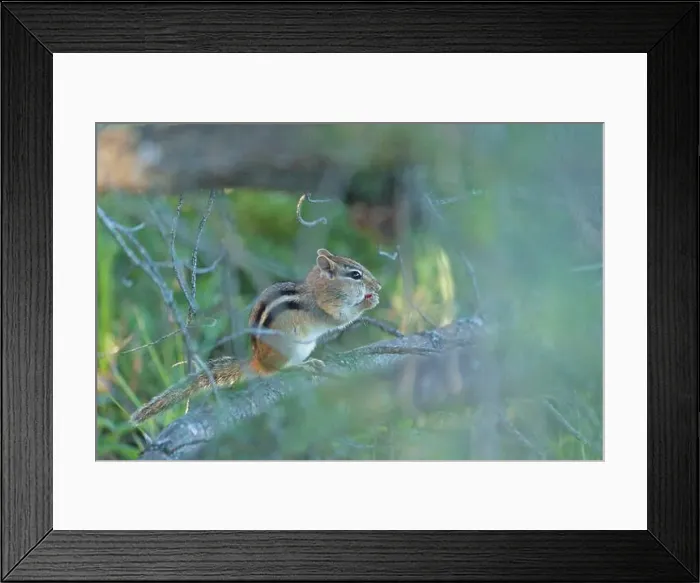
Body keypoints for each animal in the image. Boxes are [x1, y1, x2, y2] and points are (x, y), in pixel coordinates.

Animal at [129, 248, 382, 425]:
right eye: (356, 275)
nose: (378, 285)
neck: (318, 289)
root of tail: (257, 361)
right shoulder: (324, 310)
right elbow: (341, 320)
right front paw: (368, 302)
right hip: (288, 346)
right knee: (276, 371)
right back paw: (300, 367)